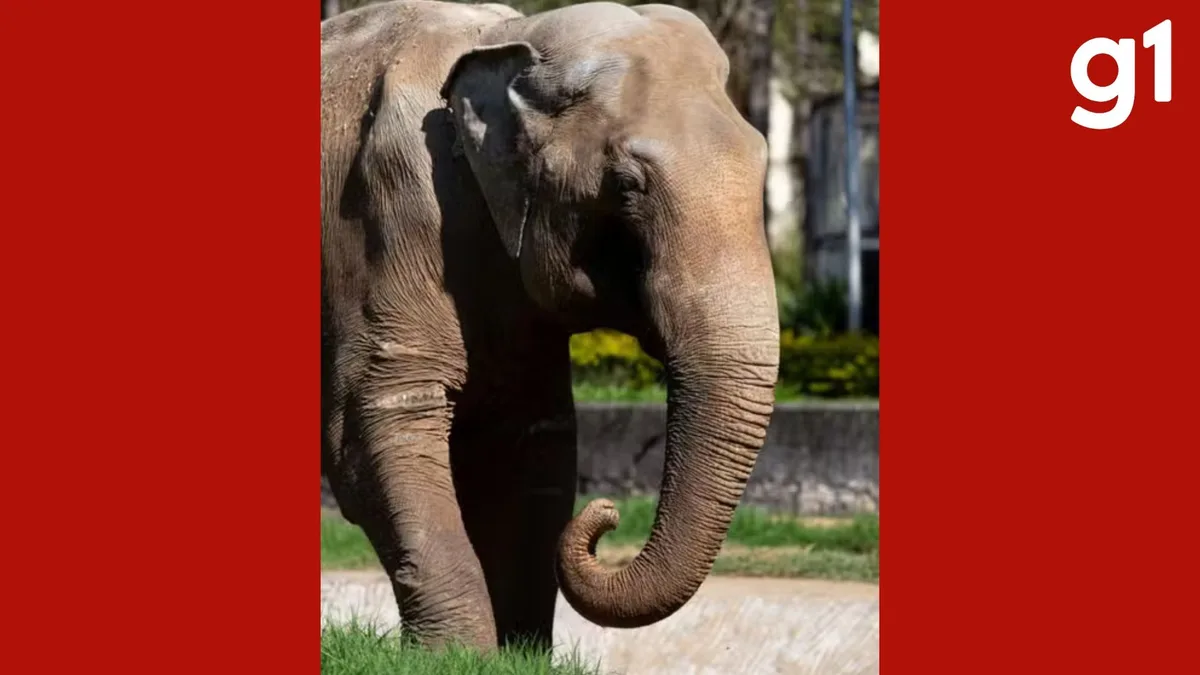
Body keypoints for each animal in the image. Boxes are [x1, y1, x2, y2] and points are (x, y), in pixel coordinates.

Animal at [321, 0, 780, 652]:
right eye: (626, 187)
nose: (607, 514)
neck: (507, 38)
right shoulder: (384, 216)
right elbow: (375, 421)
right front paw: (455, 654)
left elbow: (535, 437)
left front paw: (515, 653)